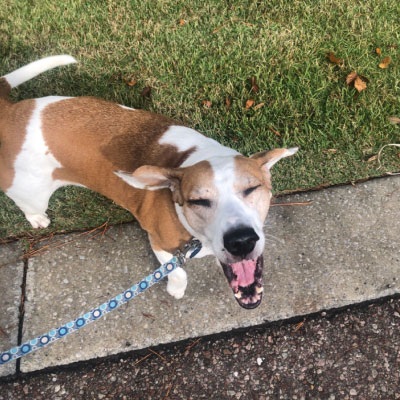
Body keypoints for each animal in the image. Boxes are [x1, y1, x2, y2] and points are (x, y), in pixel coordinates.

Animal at [0, 54, 296, 308]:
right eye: (198, 201)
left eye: (252, 188)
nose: (241, 241)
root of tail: (12, 112)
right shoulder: (160, 245)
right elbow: (178, 273)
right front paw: (176, 289)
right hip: (30, 192)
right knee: (27, 204)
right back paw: (37, 219)